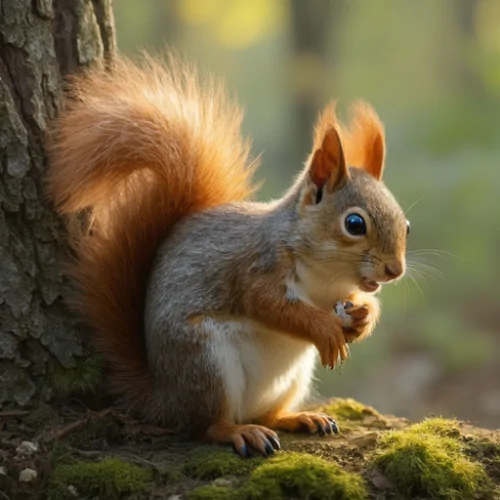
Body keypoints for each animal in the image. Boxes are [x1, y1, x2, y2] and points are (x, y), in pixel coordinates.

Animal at [46, 52, 410, 458]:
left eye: (406, 226)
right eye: (354, 224)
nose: (395, 270)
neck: (325, 276)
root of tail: (165, 398)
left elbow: (354, 302)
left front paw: (363, 318)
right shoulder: (257, 267)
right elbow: (270, 306)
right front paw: (327, 329)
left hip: (291, 378)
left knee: (267, 414)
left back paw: (299, 418)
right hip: (205, 363)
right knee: (205, 426)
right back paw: (239, 432)